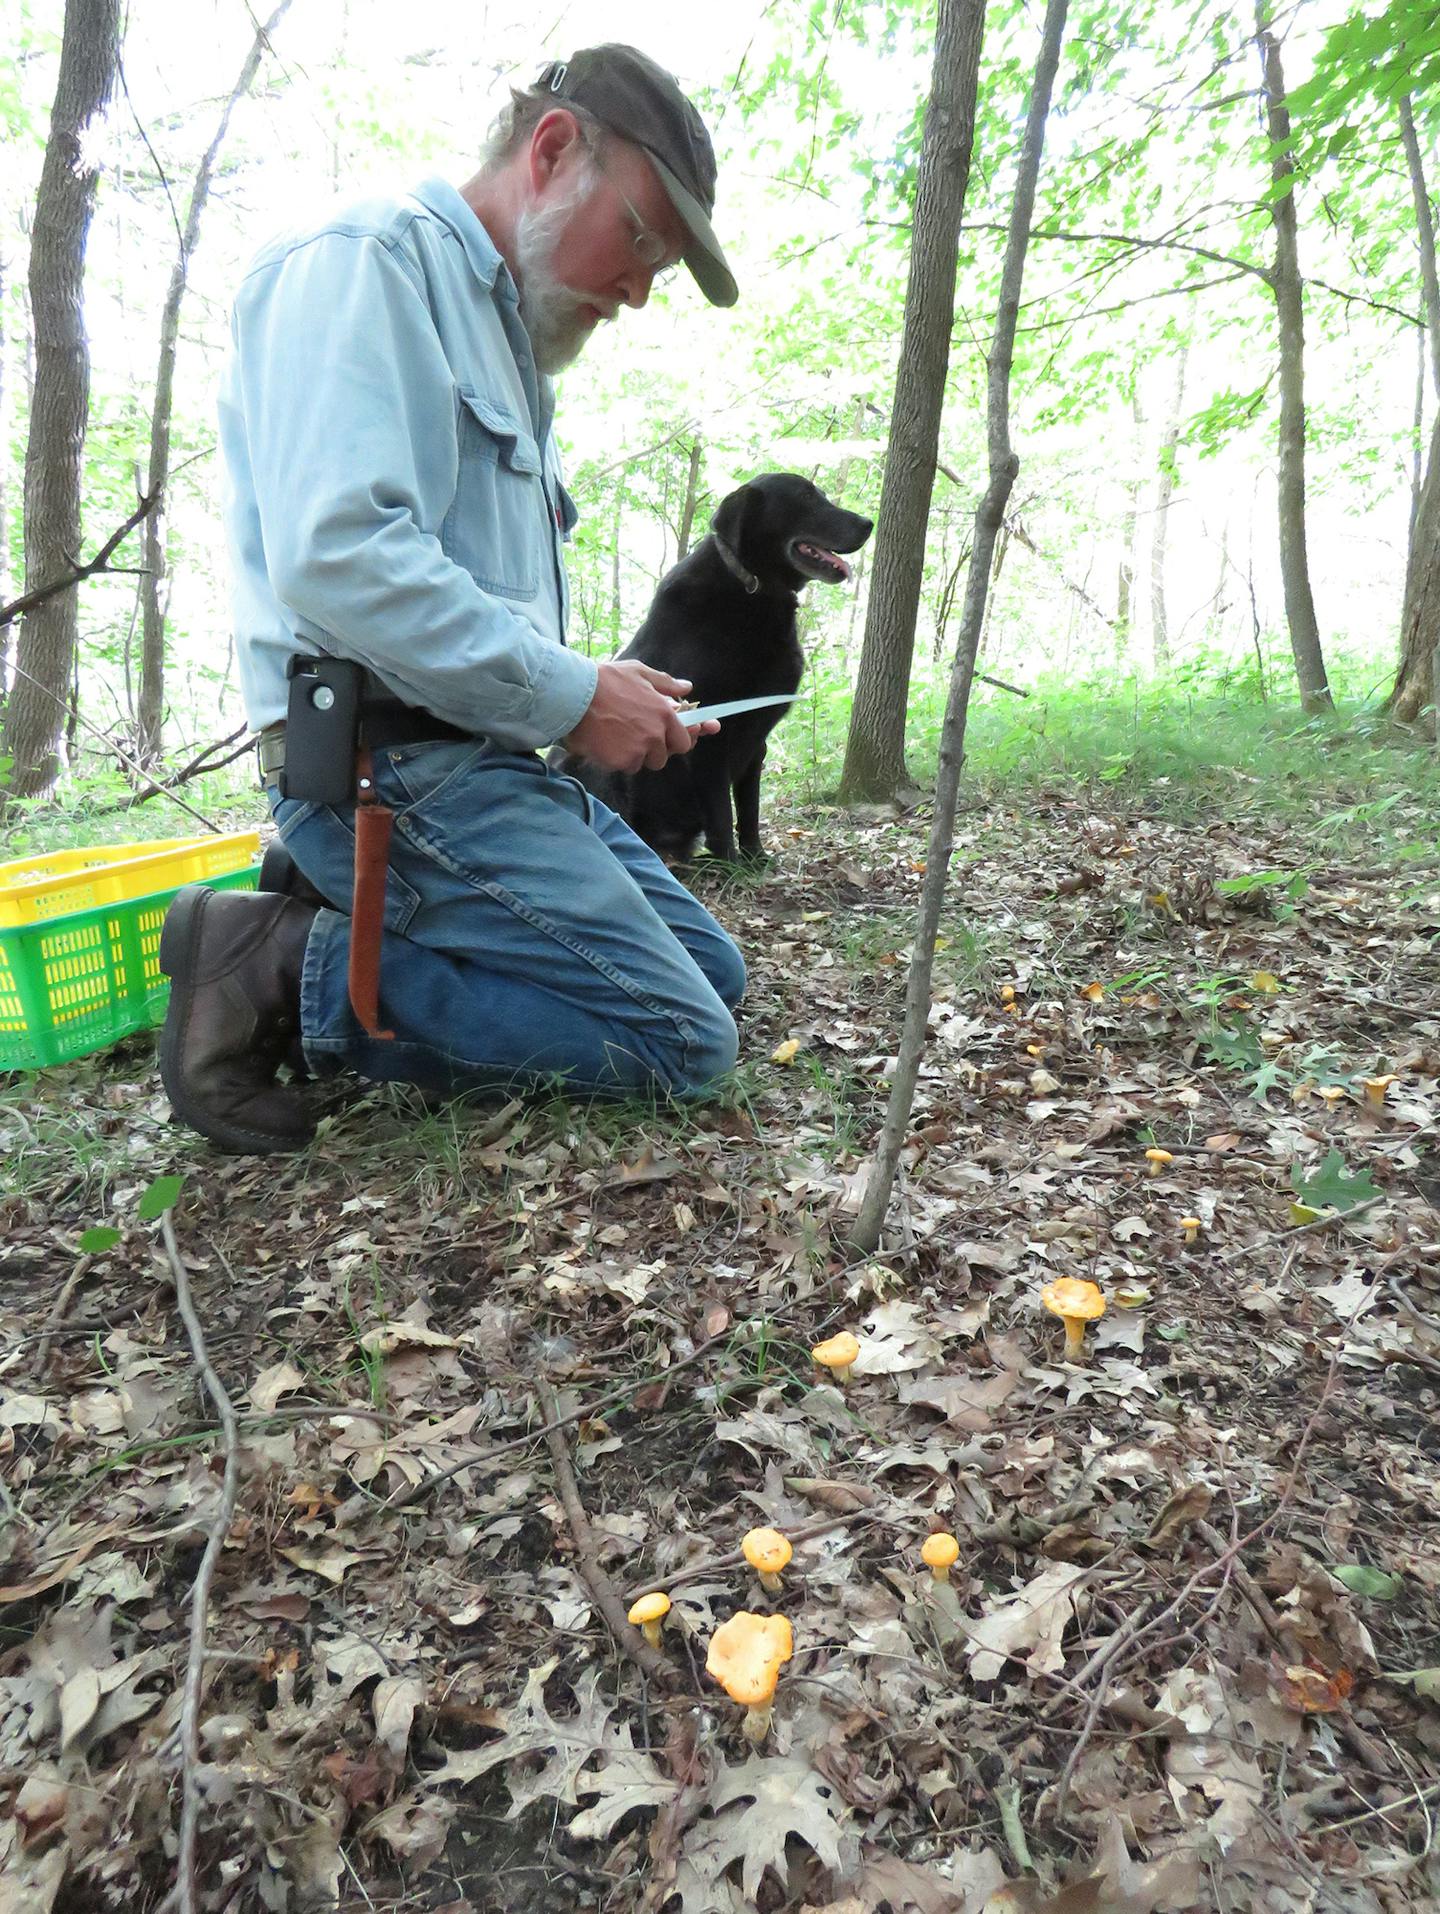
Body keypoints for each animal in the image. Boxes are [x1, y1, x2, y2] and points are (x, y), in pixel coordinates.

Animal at [555, 470, 873, 861]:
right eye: (806, 497)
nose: (868, 523)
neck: (753, 588)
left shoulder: (757, 740)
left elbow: (748, 807)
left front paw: (755, 857)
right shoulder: (709, 741)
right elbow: (722, 812)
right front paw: (731, 864)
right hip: (602, 762)